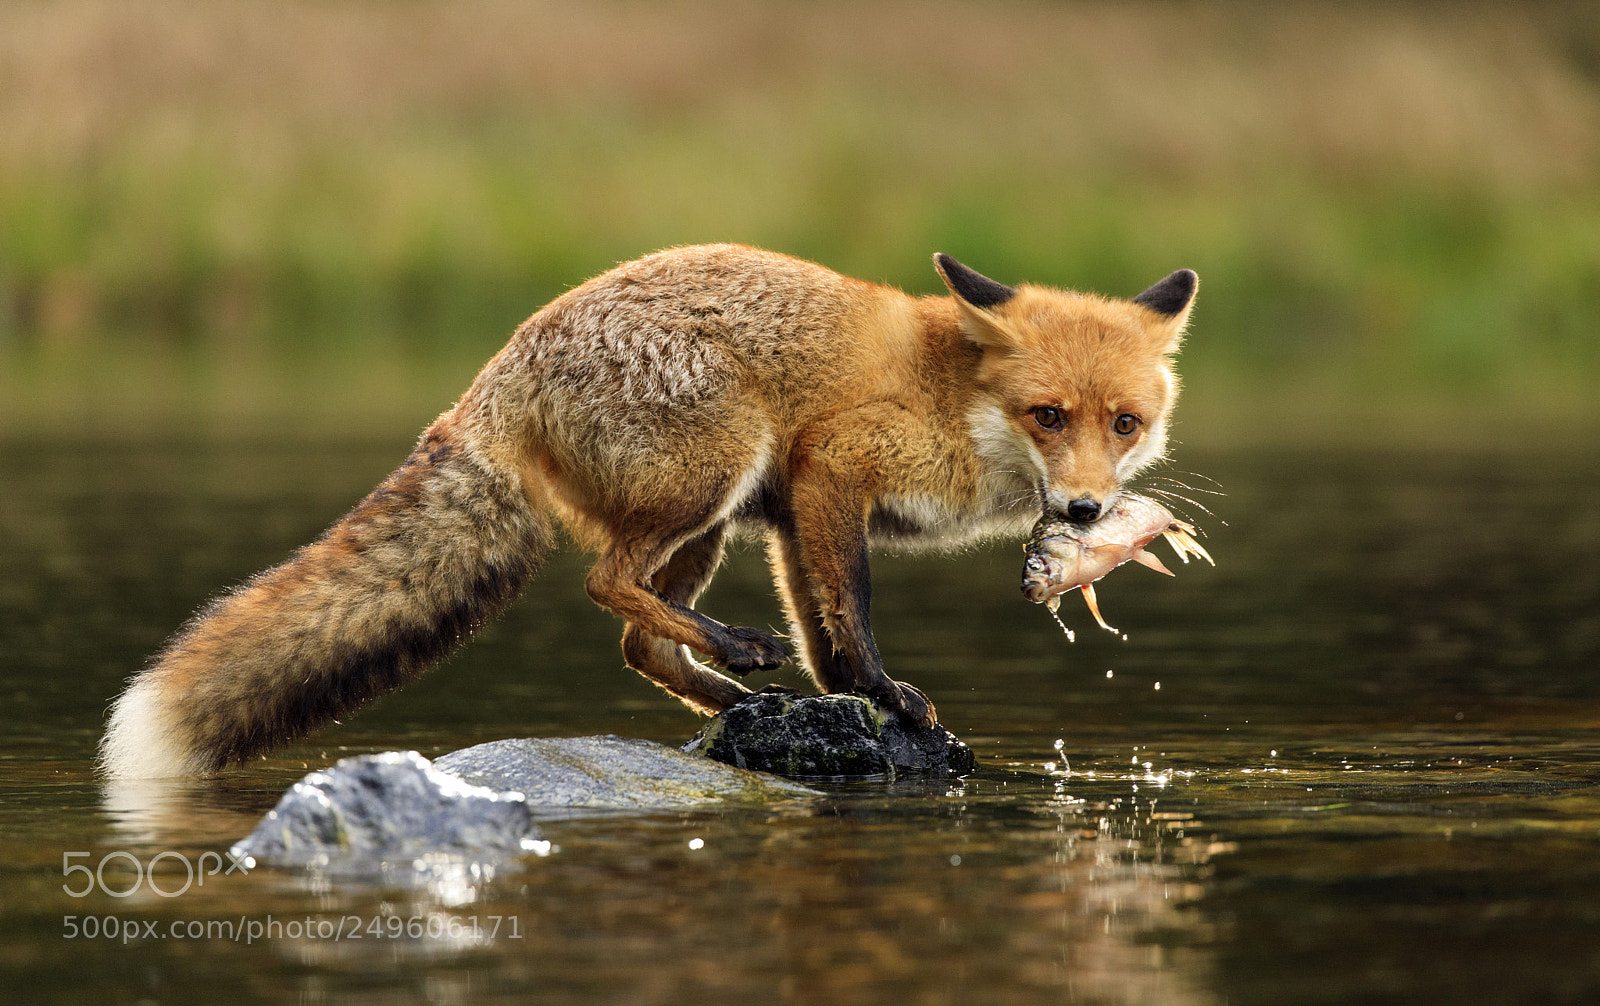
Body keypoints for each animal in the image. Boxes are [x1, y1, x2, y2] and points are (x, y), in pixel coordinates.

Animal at [100, 244, 1197, 779]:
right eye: (1047, 416)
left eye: (1125, 423)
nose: (1088, 509)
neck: (954, 397)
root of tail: (492, 376)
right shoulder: (829, 467)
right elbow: (848, 613)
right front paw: (884, 696)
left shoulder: (791, 509)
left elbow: (824, 631)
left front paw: (854, 701)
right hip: (714, 470)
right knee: (607, 583)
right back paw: (740, 656)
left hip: (716, 516)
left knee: (639, 638)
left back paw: (736, 694)